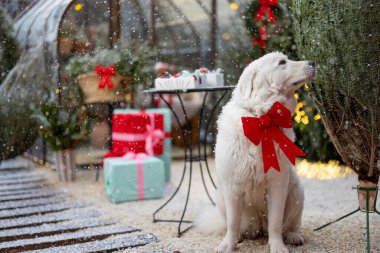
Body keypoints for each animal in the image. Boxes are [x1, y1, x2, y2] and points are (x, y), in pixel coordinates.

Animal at [194, 52, 316, 252]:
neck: (261, 118)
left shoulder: (277, 184)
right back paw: (238, 238)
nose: (313, 62)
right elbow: (233, 222)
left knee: (289, 224)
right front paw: (228, 245)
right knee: (234, 225)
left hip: (297, 191)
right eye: (282, 62)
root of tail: (259, 228)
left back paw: (293, 236)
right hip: (221, 197)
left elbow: (276, 222)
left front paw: (277, 246)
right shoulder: (232, 186)